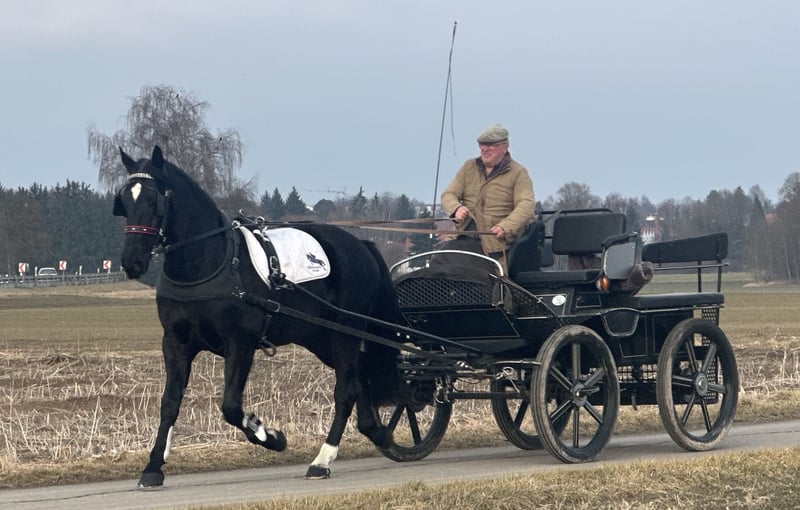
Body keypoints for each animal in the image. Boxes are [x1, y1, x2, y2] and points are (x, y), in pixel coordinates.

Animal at [113, 146, 402, 486]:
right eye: (124, 201)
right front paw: (154, 466)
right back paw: (375, 431)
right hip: (320, 337)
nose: (132, 262)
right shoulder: (175, 343)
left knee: (347, 388)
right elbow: (170, 403)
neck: (210, 262)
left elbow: (231, 406)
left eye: (153, 200)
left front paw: (270, 435)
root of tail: (361, 245)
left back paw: (323, 459)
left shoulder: (241, 342)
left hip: (346, 331)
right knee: (360, 376)